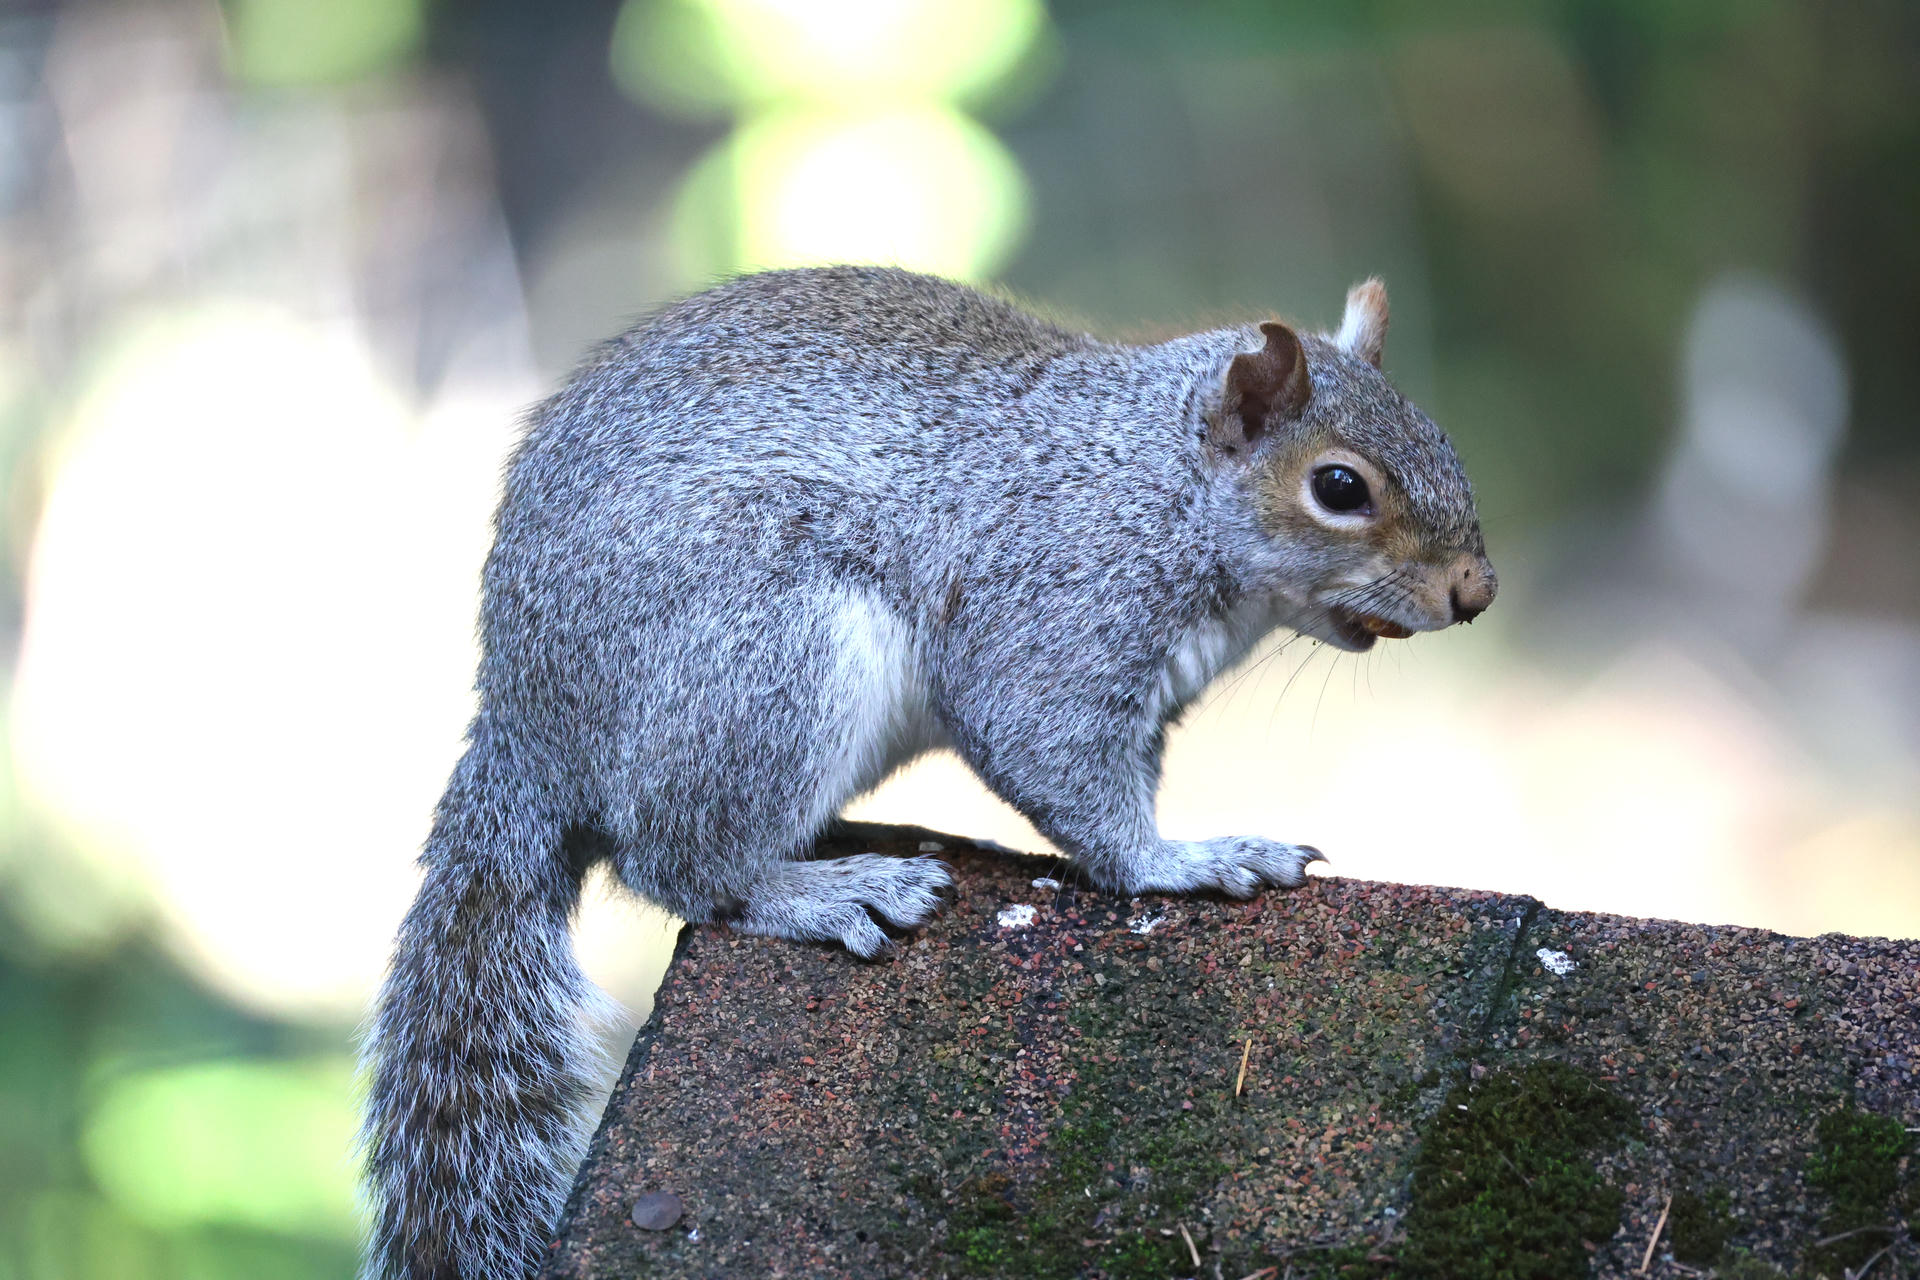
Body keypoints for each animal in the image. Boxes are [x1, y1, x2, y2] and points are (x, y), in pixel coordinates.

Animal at [359, 265, 1495, 1278]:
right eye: (1339, 487)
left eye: (1445, 442)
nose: (1476, 590)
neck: (1158, 483)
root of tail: (527, 720)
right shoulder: (1055, 610)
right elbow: (1062, 769)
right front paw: (1190, 860)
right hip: (766, 656)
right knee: (673, 859)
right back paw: (819, 889)